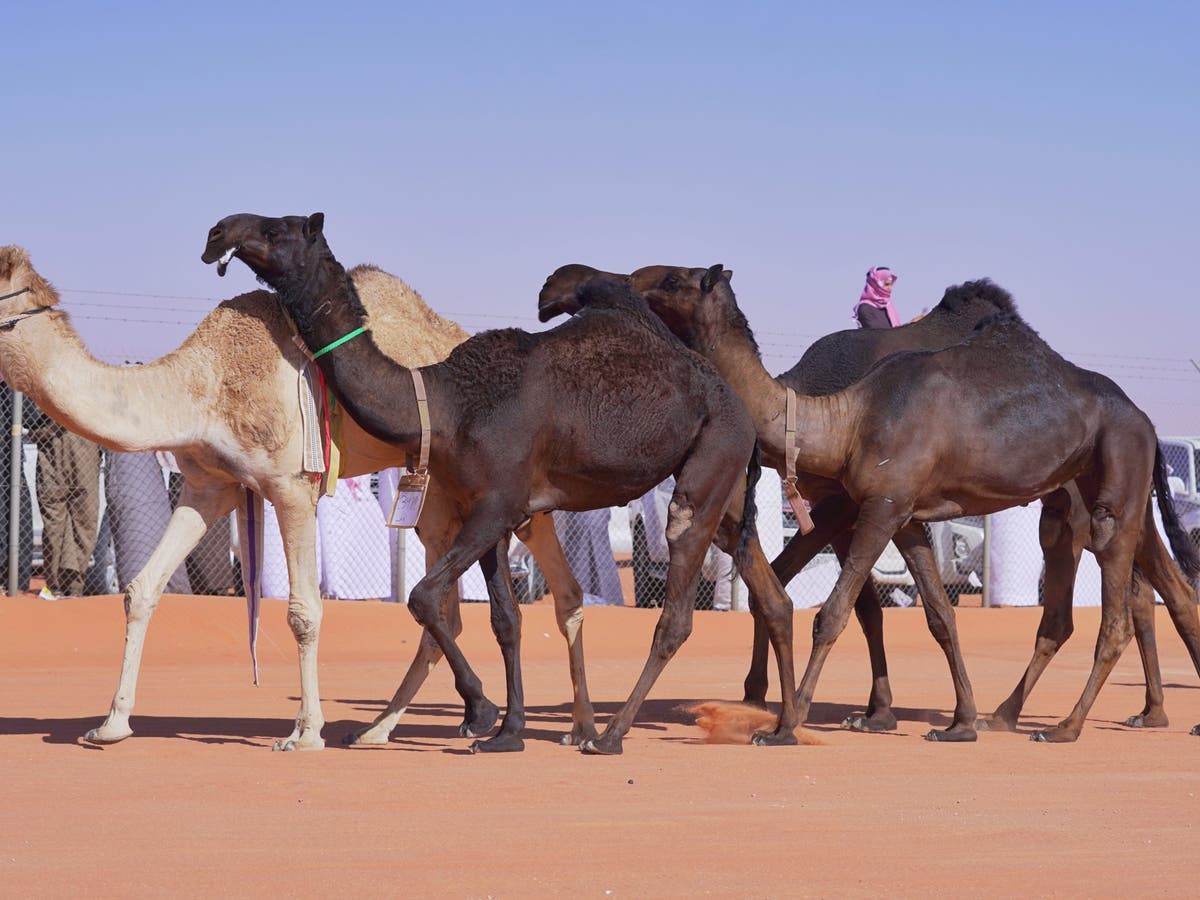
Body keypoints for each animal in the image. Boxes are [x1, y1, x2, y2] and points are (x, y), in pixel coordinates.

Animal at [0, 247, 590, 753]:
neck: (202, 385)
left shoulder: (291, 487)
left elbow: (305, 611)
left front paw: (304, 732)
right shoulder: (208, 485)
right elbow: (141, 589)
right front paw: (112, 724)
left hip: (504, 486)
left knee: (557, 590)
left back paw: (575, 729)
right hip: (438, 500)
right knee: (447, 604)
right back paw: (382, 729)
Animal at [201, 214, 806, 758]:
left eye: (277, 228)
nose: (217, 231)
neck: (443, 402)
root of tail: (738, 405)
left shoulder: (498, 503)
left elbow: (423, 597)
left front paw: (481, 711)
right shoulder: (488, 510)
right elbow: (505, 620)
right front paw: (508, 731)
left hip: (711, 459)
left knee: (677, 605)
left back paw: (609, 736)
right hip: (726, 494)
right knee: (768, 595)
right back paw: (780, 729)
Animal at [549, 267, 1200, 748]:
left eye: (672, 279)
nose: (570, 284)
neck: (844, 417)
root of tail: (1145, 417)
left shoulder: (879, 504)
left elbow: (833, 613)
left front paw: (786, 724)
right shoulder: (903, 512)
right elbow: (937, 613)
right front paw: (958, 723)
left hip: (1111, 483)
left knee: (1120, 608)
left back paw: (1066, 727)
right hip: (1088, 499)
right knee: (1126, 597)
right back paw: (1027, 714)